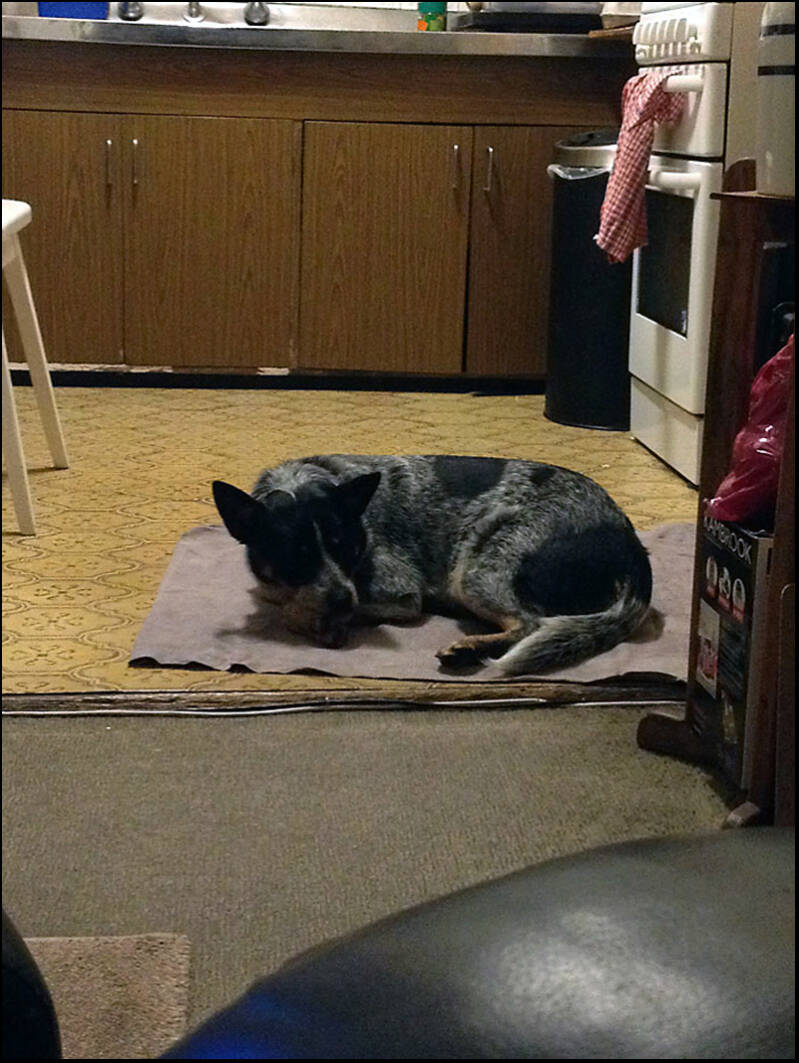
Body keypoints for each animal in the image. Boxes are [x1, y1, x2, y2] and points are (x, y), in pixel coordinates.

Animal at [212, 455, 652, 675]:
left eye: (345, 546)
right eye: (297, 554)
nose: (341, 600)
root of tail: (634, 551)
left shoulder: (402, 593)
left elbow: (294, 611)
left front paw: (314, 619)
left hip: (477, 568)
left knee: (530, 623)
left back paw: (470, 649)